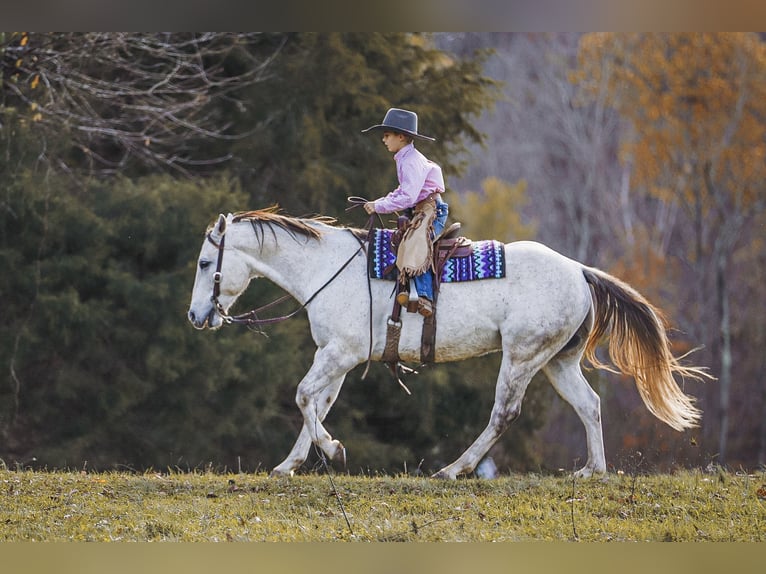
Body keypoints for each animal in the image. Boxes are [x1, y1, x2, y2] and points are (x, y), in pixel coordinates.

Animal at [189, 209, 712, 480]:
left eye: (203, 263)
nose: (196, 317)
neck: (327, 269)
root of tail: (580, 271)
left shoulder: (340, 354)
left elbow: (303, 397)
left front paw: (333, 451)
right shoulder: (335, 358)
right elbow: (316, 403)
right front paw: (290, 465)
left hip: (521, 358)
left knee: (504, 414)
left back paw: (453, 470)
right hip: (557, 361)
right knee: (590, 405)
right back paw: (592, 472)